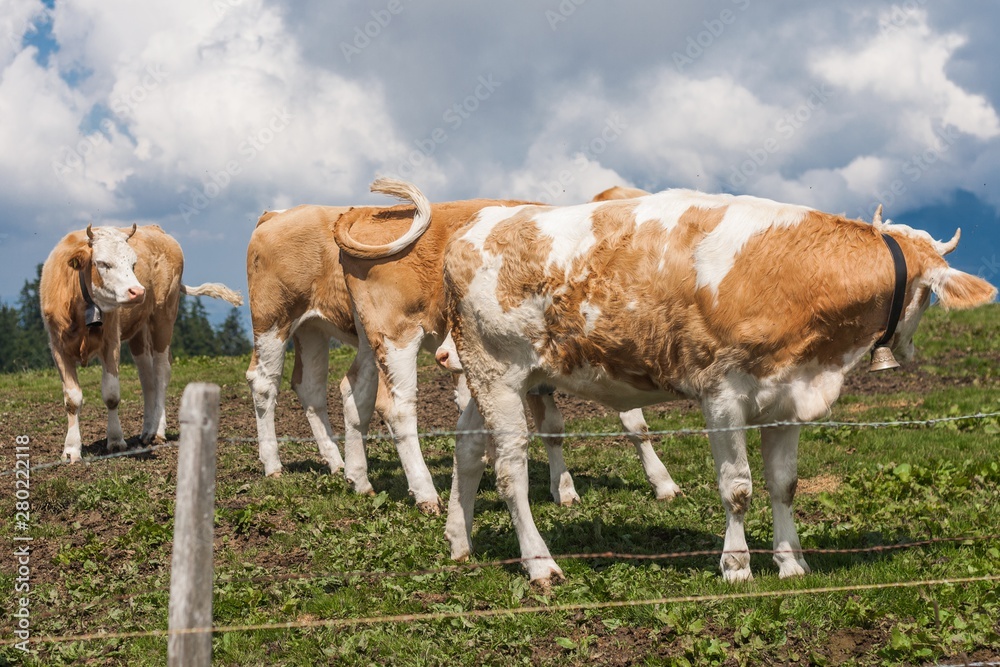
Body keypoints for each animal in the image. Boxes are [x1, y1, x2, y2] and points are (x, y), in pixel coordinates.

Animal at [40, 224, 244, 464]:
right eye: (102, 263)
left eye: (133, 264)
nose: (137, 292)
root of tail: (157, 229)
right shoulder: (58, 347)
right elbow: (72, 399)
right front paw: (71, 450)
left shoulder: (111, 341)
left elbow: (111, 395)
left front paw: (116, 440)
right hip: (139, 332)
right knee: (148, 380)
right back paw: (147, 430)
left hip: (164, 316)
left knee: (161, 373)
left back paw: (158, 431)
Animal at [442, 189, 996, 584]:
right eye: (928, 297)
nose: (906, 352)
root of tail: (476, 225)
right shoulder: (723, 396)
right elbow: (738, 488)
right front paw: (737, 566)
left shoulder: (786, 397)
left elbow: (784, 484)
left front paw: (791, 563)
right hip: (498, 374)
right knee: (509, 470)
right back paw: (540, 565)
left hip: (484, 377)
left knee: (467, 449)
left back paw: (460, 543)